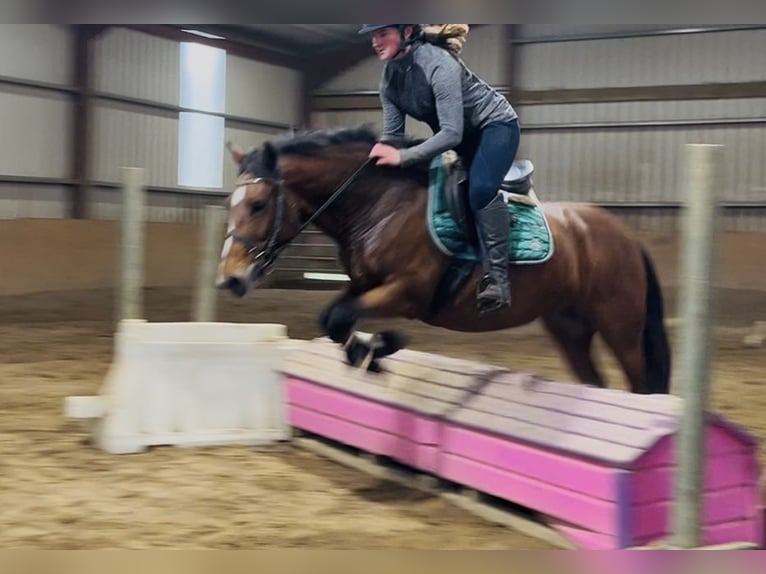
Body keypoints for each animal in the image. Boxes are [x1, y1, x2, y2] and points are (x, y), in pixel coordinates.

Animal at [216, 125, 672, 394]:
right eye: (228, 204)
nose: (230, 279)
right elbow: (333, 318)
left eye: (258, 204)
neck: (380, 203)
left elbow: (341, 317)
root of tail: (628, 236)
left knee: (639, 381)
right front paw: (374, 351)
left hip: (619, 323)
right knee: (594, 380)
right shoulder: (364, 285)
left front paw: (381, 347)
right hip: (569, 325)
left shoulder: (408, 292)